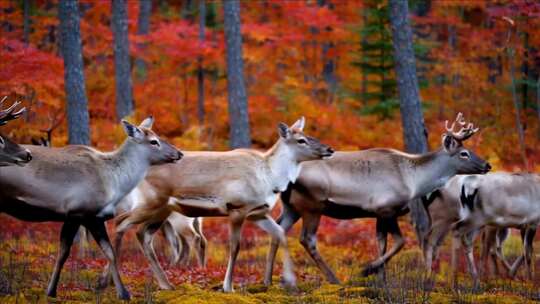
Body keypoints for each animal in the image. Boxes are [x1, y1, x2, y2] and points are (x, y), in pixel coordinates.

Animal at [0, 117, 182, 300]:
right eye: (153, 141)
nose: (179, 153)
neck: (114, 183)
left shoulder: (89, 216)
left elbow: (105, 252)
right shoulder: (81, 212)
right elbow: (71, 253)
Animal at [109, 117, 334, 292]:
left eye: (307, 134)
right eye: (301, 140)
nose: (329, 149)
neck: (270, 178)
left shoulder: (257, 213)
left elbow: (279, 233)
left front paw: (288, 281)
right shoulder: (237, 208)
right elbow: (235, 247)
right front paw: (228, 286)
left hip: (163, 211)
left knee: (142, 233)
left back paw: (164, 284)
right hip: (151, 203)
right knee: (121, 223)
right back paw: (112, 281)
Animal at [264, 112, 490, 284]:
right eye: (464, 153)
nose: (487, 165)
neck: (414, 181)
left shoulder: (378, 214)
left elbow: (381, 243)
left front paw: (382, 280)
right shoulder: (386, 208)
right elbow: (400, 242)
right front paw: (368, 269)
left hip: (291, 207)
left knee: (277, 230)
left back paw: (267, 280)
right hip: (312, 205)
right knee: (307, 239)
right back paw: (334, 279)